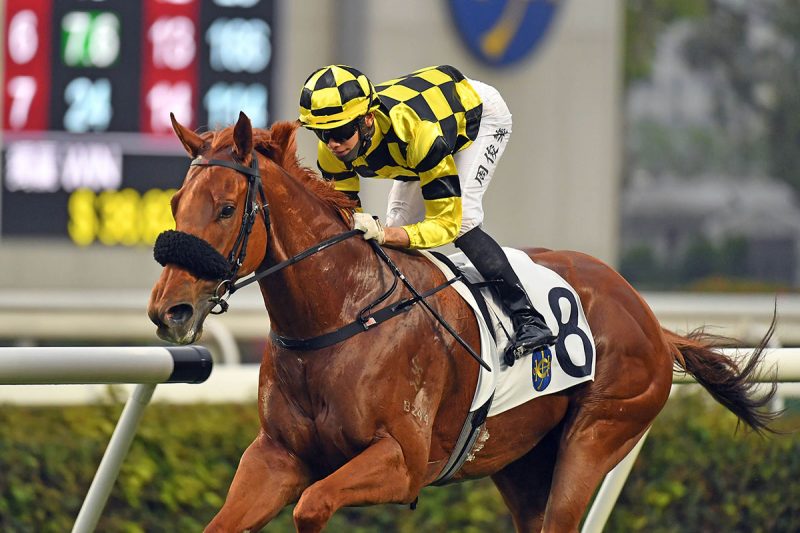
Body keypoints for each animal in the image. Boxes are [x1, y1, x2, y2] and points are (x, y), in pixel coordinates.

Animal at [147, 112, 778, 533]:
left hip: (598, 435)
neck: (343, 316)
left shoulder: (401, 463)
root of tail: (650, 318)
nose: (168, 310)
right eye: (176, 202)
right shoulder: (276, 456)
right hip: (521, 462)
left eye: (227, 208)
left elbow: (311, 506)